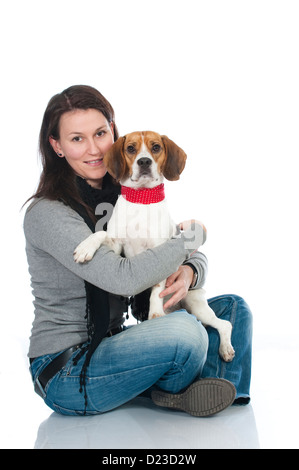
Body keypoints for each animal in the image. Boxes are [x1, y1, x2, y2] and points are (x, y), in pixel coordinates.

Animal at [74, 130, 236, 362]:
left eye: (156, 147)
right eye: (130, 148)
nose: (144, 161)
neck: (142, 200)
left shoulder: (159, 252)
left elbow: (157, 289)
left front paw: (155, 312)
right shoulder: (116, 248)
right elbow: (101, 233)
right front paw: (86, 247)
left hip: (196, 305)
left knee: (224, 324)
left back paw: (226, 348)